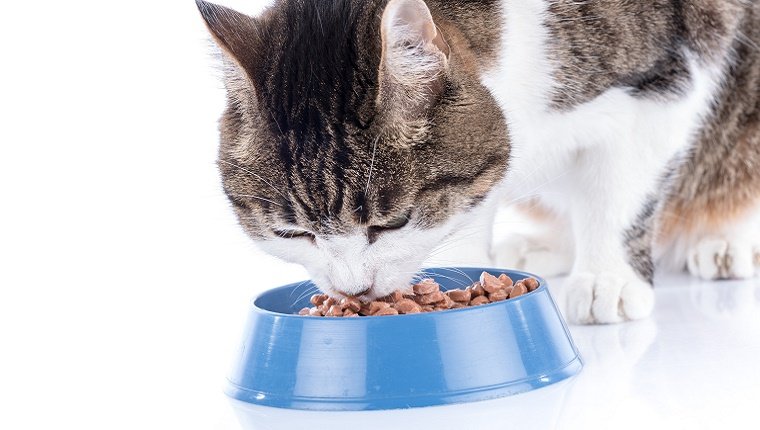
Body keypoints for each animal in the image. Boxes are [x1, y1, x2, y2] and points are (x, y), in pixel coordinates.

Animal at [197, 0, 760, 322]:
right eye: (292, 234)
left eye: (392, 223)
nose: (353, 289)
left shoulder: (670, 74)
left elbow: (622, 191)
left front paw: (609, 277)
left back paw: (726, 241)